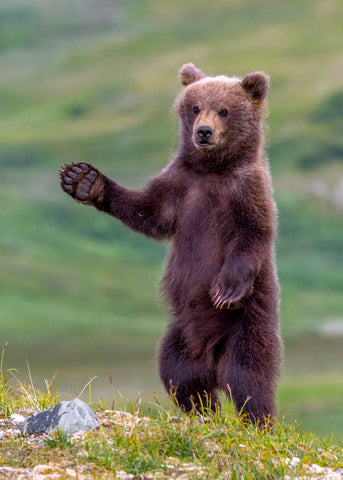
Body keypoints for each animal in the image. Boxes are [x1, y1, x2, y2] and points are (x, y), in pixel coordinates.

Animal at [60, 62, 284, 424]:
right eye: (194, 107)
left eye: (224, 110)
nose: (204, 131)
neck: (213, 170)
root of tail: (211, 356)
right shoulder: (181, 185)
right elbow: (149, 212)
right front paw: (84, 180)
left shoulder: (247, 191)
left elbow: (254, 234)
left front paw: (225, 290)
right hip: (179, 336)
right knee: (179, 376)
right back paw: (202, 410)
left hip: (248, 325)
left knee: (248, 378)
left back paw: (257, 421)